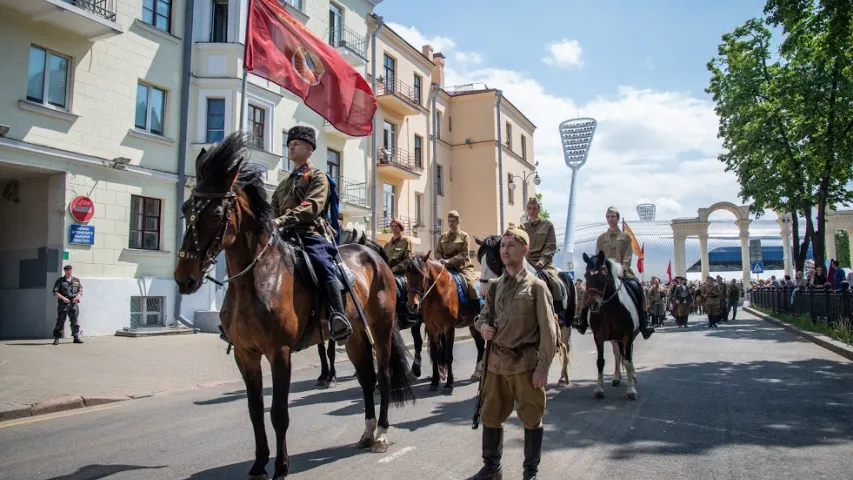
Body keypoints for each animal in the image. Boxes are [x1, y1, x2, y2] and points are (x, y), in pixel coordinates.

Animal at [174, 132, 416, 480]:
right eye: (185, 208)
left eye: (217, 214)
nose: (185, 278)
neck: (258, 278)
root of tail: (374, 254)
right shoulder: (246, 354)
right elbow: (255, 410)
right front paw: (258, 465)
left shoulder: (280, 352)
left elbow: (279, 412)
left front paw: (281, 468)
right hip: (355, 337)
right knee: (366, 379)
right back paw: (367, 432)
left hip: (380, 332)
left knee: (382, 376)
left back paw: (381, 434)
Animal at [404, 251, 482, 394]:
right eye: (407, 275)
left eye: (423, 276)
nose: (412, 305)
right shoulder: (432, 328)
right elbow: (435, 355)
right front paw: (434, 382)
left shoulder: (448, 328)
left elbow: (448, 355)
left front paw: (449, 384)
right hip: (473, 326)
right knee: (480, 346)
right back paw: (476, 373)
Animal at [584, 251, 644, 402]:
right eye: (586, 275)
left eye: (603, 275)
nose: (592, 304)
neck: (610, 309)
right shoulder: (598, 337)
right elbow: (600, 361)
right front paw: (599, 389)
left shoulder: (628, 335)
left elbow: (628, 361)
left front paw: (631, 390)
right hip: (614, 339)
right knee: (617, 354)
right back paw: (616, 377)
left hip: (630, 336)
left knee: (629, 354)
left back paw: (633, 376)